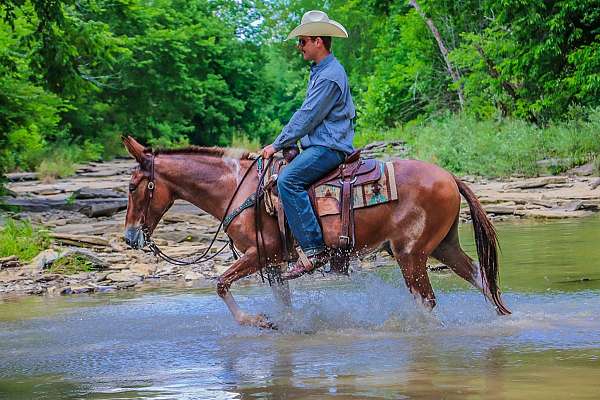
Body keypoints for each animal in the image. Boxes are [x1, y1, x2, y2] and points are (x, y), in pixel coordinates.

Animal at [122, 137, 510, 328]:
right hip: (443, 246)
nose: (129, 237)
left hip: (410, 254)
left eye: (132, 186)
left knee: (426, 300)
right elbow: (283, 302)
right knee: (481, 278)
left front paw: (257, 321)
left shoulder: (261, 254)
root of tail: (449, 176)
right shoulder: (274, 264)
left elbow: (220, 283)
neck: (237, 187)